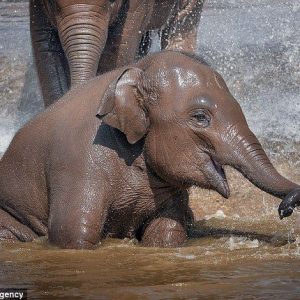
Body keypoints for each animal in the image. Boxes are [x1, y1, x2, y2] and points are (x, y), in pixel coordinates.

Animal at [0, 51, 300, 248]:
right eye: (200, 117)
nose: (284, 210)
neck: (137, 68)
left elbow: (166, 233)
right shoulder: (78, 162)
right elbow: (73, 233)